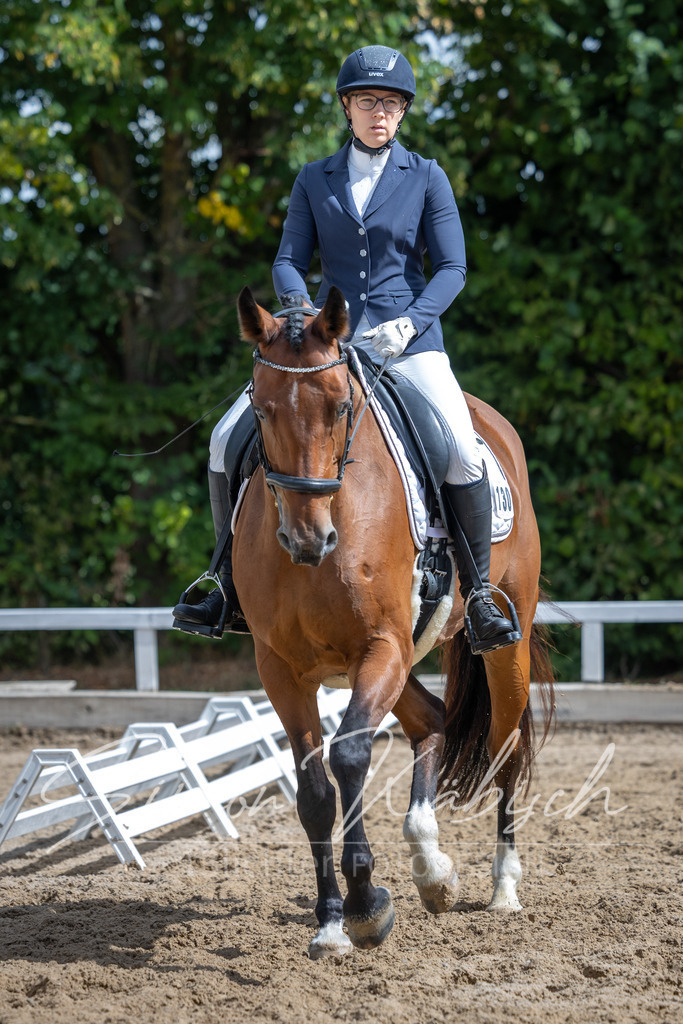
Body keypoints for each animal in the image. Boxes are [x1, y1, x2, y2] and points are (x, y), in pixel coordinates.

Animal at [231, 284, 554, 959]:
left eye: (339, 406)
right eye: (262, 409)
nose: (308, 539)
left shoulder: (380, 645)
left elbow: (351, 753)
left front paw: (364, 906)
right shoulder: (282, 668)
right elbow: (313, 790)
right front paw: (331, 921)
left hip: (494, 648)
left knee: (507, 749)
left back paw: (503, 887)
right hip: (392, 660)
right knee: (430, 721)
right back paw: (432, 869)